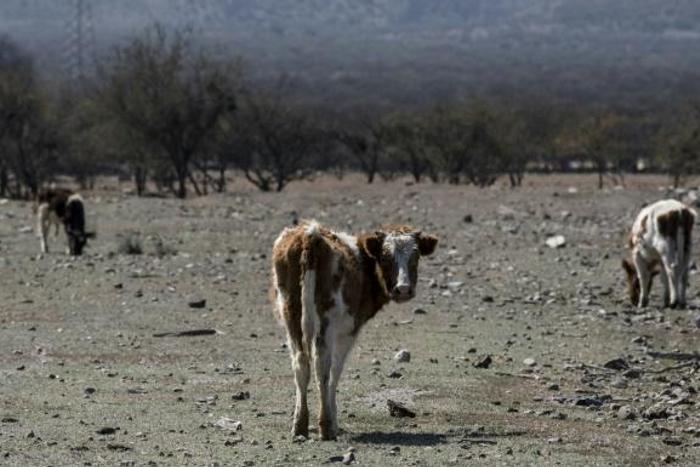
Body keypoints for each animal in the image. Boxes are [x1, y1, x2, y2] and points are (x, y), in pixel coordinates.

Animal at [271, 221, 438, 440]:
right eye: (385, 256)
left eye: (416, 255)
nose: (403, 289)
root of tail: (310, 234)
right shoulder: (349, 331)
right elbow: (335, 373)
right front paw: (333, 421)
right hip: (326, 321)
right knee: (321, 366)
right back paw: (326, 427)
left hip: (290, 314)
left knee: (300, 364)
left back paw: (300, 425)